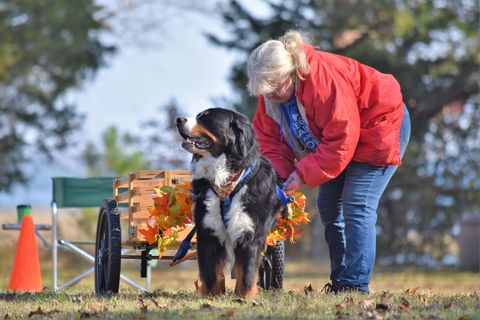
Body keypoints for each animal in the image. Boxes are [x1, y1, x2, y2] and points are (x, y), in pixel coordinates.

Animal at [176, 107, 282, 298]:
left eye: (207, 118)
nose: (178, 119)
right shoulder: (208, 231)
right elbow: (210, 272)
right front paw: (211, 297)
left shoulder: (249, 233)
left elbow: (247, 272)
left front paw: (245, 298)